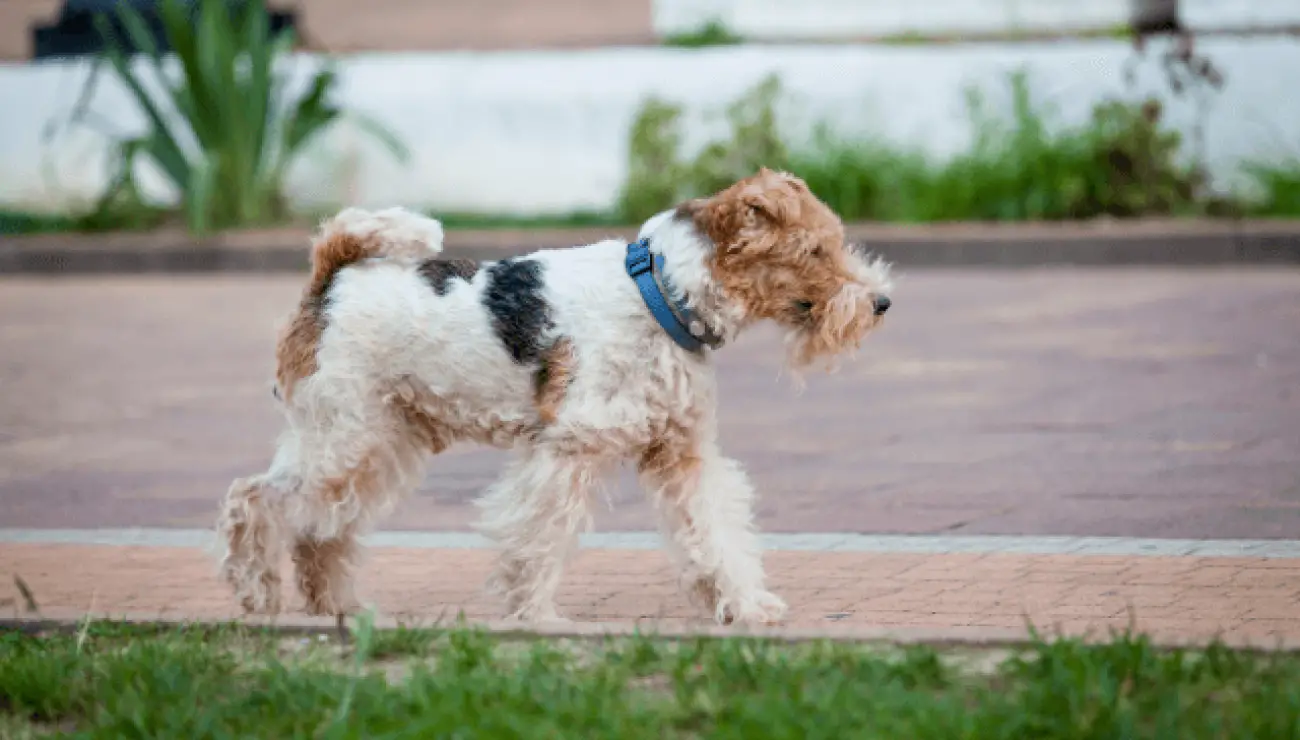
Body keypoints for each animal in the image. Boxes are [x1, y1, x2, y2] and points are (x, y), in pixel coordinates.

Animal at [218, 167, 889, 624]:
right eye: (813, 250)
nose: (882, 302)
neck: (659, 294)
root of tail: (330, 278)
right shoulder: (570, 448)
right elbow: (539, 539)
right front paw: (535, 617)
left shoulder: (682, 452)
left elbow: (715, 530)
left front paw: (747, 605)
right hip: (344, 439)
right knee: (252, 499)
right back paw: (257, 595)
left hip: (377, 445)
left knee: (320, 531)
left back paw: (340, 610)